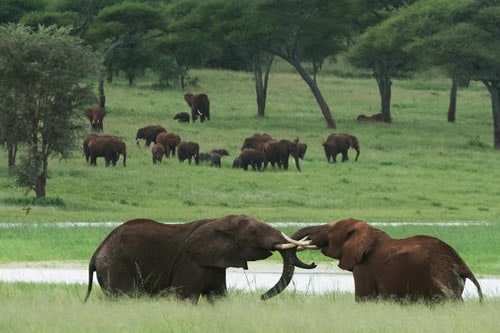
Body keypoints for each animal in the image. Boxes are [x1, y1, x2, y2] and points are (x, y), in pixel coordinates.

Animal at [83, 214, 314, 302]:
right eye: (254, 232)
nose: (261, 297)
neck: (220, 221)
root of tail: (96, 253)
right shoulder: (190, 261)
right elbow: (185, 297)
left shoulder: (215, 263)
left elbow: (218, 297)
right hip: (116, 266)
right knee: (125, 296)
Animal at [290, 218, 484, 304]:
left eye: (330, 230)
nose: (313, 263)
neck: (369, 231)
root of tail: (461, 263)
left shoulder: (364, 267)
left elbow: (364, 299)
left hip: (441, 276)